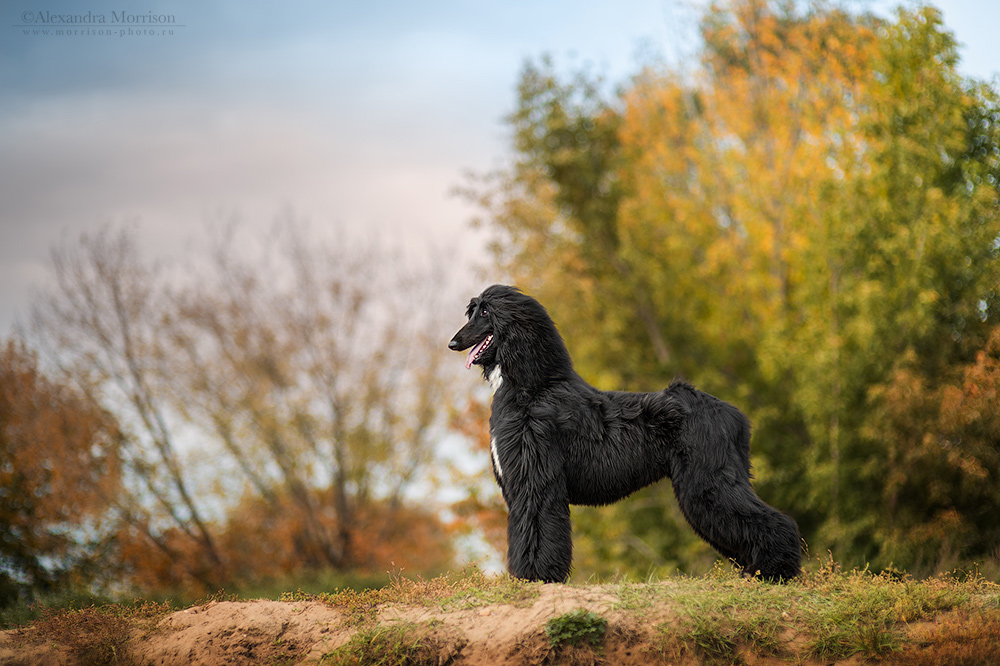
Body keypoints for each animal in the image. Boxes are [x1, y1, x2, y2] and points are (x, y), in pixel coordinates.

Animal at [450, 286, 800, 580]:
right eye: (472, 310)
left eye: (485, 312)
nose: (453, 343)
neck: (533, 388)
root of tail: (734, 415)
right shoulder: (518, 484)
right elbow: (524, 531)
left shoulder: (535, 480)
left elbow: (536, 529)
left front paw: (535, 578)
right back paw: (756, 572)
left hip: (709, 480)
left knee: (771, 521)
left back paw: (776, 571)